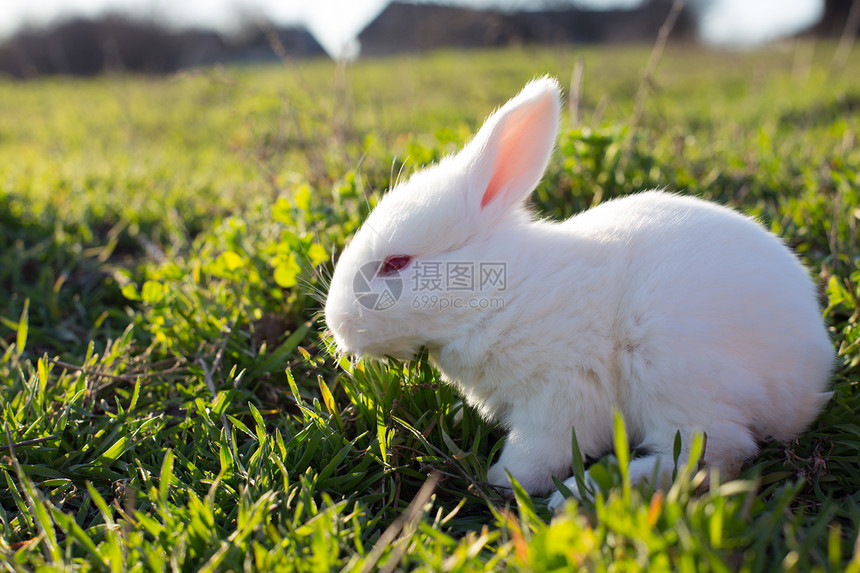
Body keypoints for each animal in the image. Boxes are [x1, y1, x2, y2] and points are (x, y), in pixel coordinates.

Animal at [324, 76, 832, 504]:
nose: (337, 324)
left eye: (396, 263)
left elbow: (535, 453)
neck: (501, 293)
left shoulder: (556, 398)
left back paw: (578, 495)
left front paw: (501, 480)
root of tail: (811, 380)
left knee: (711, 452)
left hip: (672, 374)